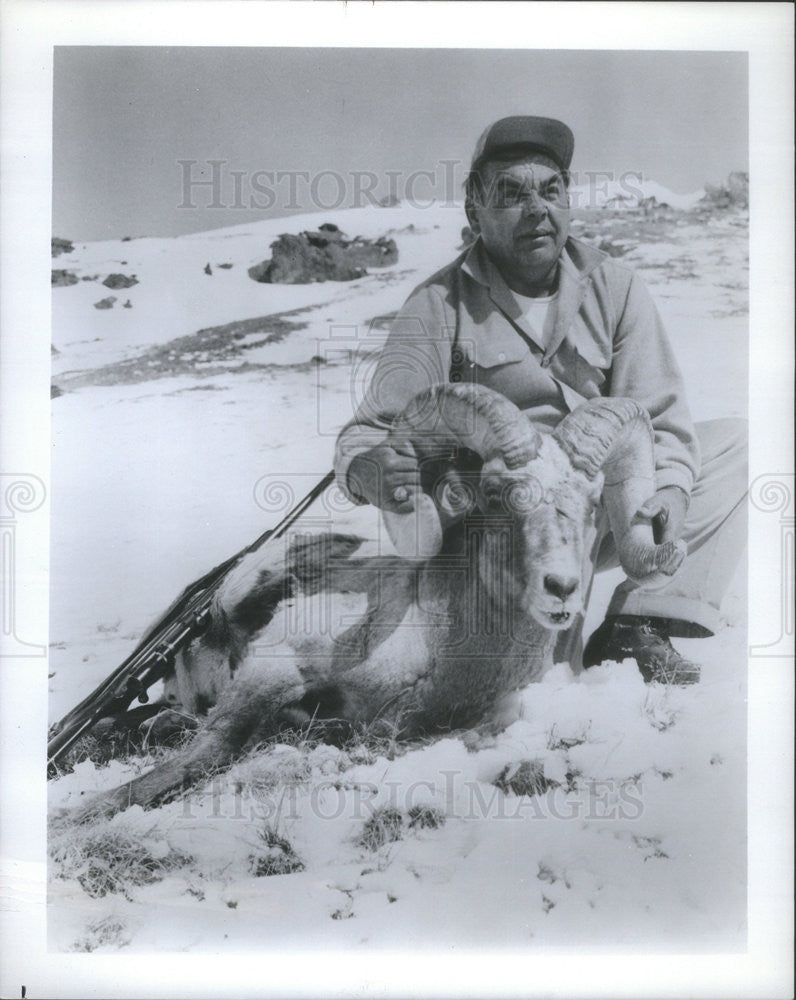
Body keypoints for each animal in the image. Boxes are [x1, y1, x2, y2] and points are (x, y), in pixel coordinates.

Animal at [60, 382, 684, 820]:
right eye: (496, 493)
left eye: (594, 499)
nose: (561, 588)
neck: (437, 650)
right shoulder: (270, 669)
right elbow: (210, 751)